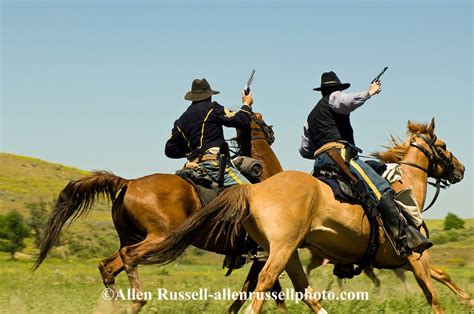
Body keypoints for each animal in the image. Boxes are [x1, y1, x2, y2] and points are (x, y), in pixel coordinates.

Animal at [35, 112, 286, 312]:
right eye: (260, 118)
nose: (272, 131)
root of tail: (129, 182)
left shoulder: (263, 256)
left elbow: (255, 291)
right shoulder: (266, 255)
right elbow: (267, 290)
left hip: (133, 237)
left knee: (108, 267)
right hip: (160, 238)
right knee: (128, 257)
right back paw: (137, 302)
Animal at [150, 119, 468, 312]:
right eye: (442, 146)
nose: (461, 169)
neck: (406, 190)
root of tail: (253, 190)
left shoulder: (408, 261)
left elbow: (442, 276)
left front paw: (467, 299)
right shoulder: (416, 257)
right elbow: (434, 295)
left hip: (286, 253)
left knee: (303, 290)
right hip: (281, 251)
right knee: (267, 284)